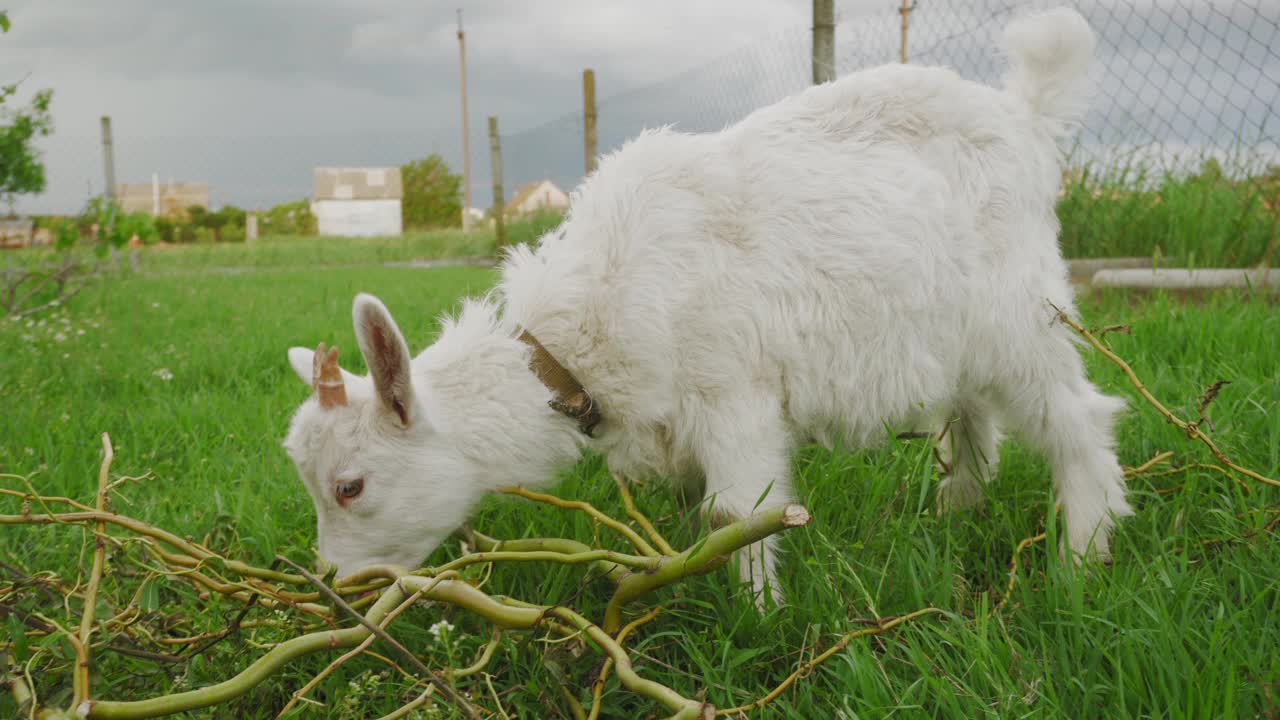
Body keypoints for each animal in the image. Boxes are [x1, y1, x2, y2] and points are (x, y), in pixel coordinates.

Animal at [282, 7, 1131, 599]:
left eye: (350, 486)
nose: (339, 586)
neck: (583, 334)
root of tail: (1025, 116)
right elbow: (706, 522)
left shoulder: (732, 396)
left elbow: (739, 515)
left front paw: (761, 618)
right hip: (949, 326)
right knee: (972, 414)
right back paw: (958, 513)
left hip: (1022, 310)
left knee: (1076, 419)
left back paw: (1082, 563)